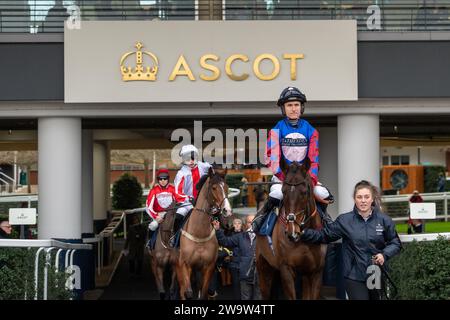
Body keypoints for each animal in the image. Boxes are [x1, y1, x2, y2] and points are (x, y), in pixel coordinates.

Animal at [175, 166, 234, 298]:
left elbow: (204, 293)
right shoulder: (185, 264)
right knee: (182, 290)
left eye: (227, 187)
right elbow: (188, 292)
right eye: (214, 187)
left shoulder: (208, 267)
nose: (227, 210)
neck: (199, 234)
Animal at [256, 160, 326, 300]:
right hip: (263, 267)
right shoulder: (286, 269)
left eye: (304, 192)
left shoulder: (316, 271)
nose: (292, 232)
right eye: (283, 191)